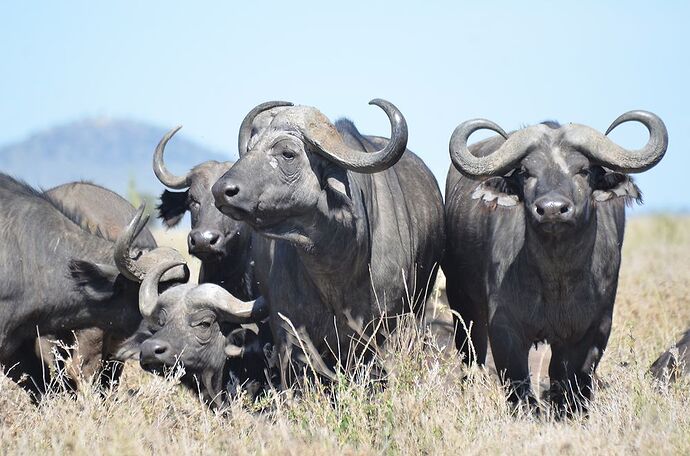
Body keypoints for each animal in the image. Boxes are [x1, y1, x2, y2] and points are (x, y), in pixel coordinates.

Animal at [440, 111, 668, 414]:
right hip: (462, 302)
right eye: (526, 172)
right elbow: (517, 382)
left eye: (583, 170)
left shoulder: (594, 329)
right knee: (471, 354)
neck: (556, 277)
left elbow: (569, 378)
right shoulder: (504, 328)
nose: (551, 210)